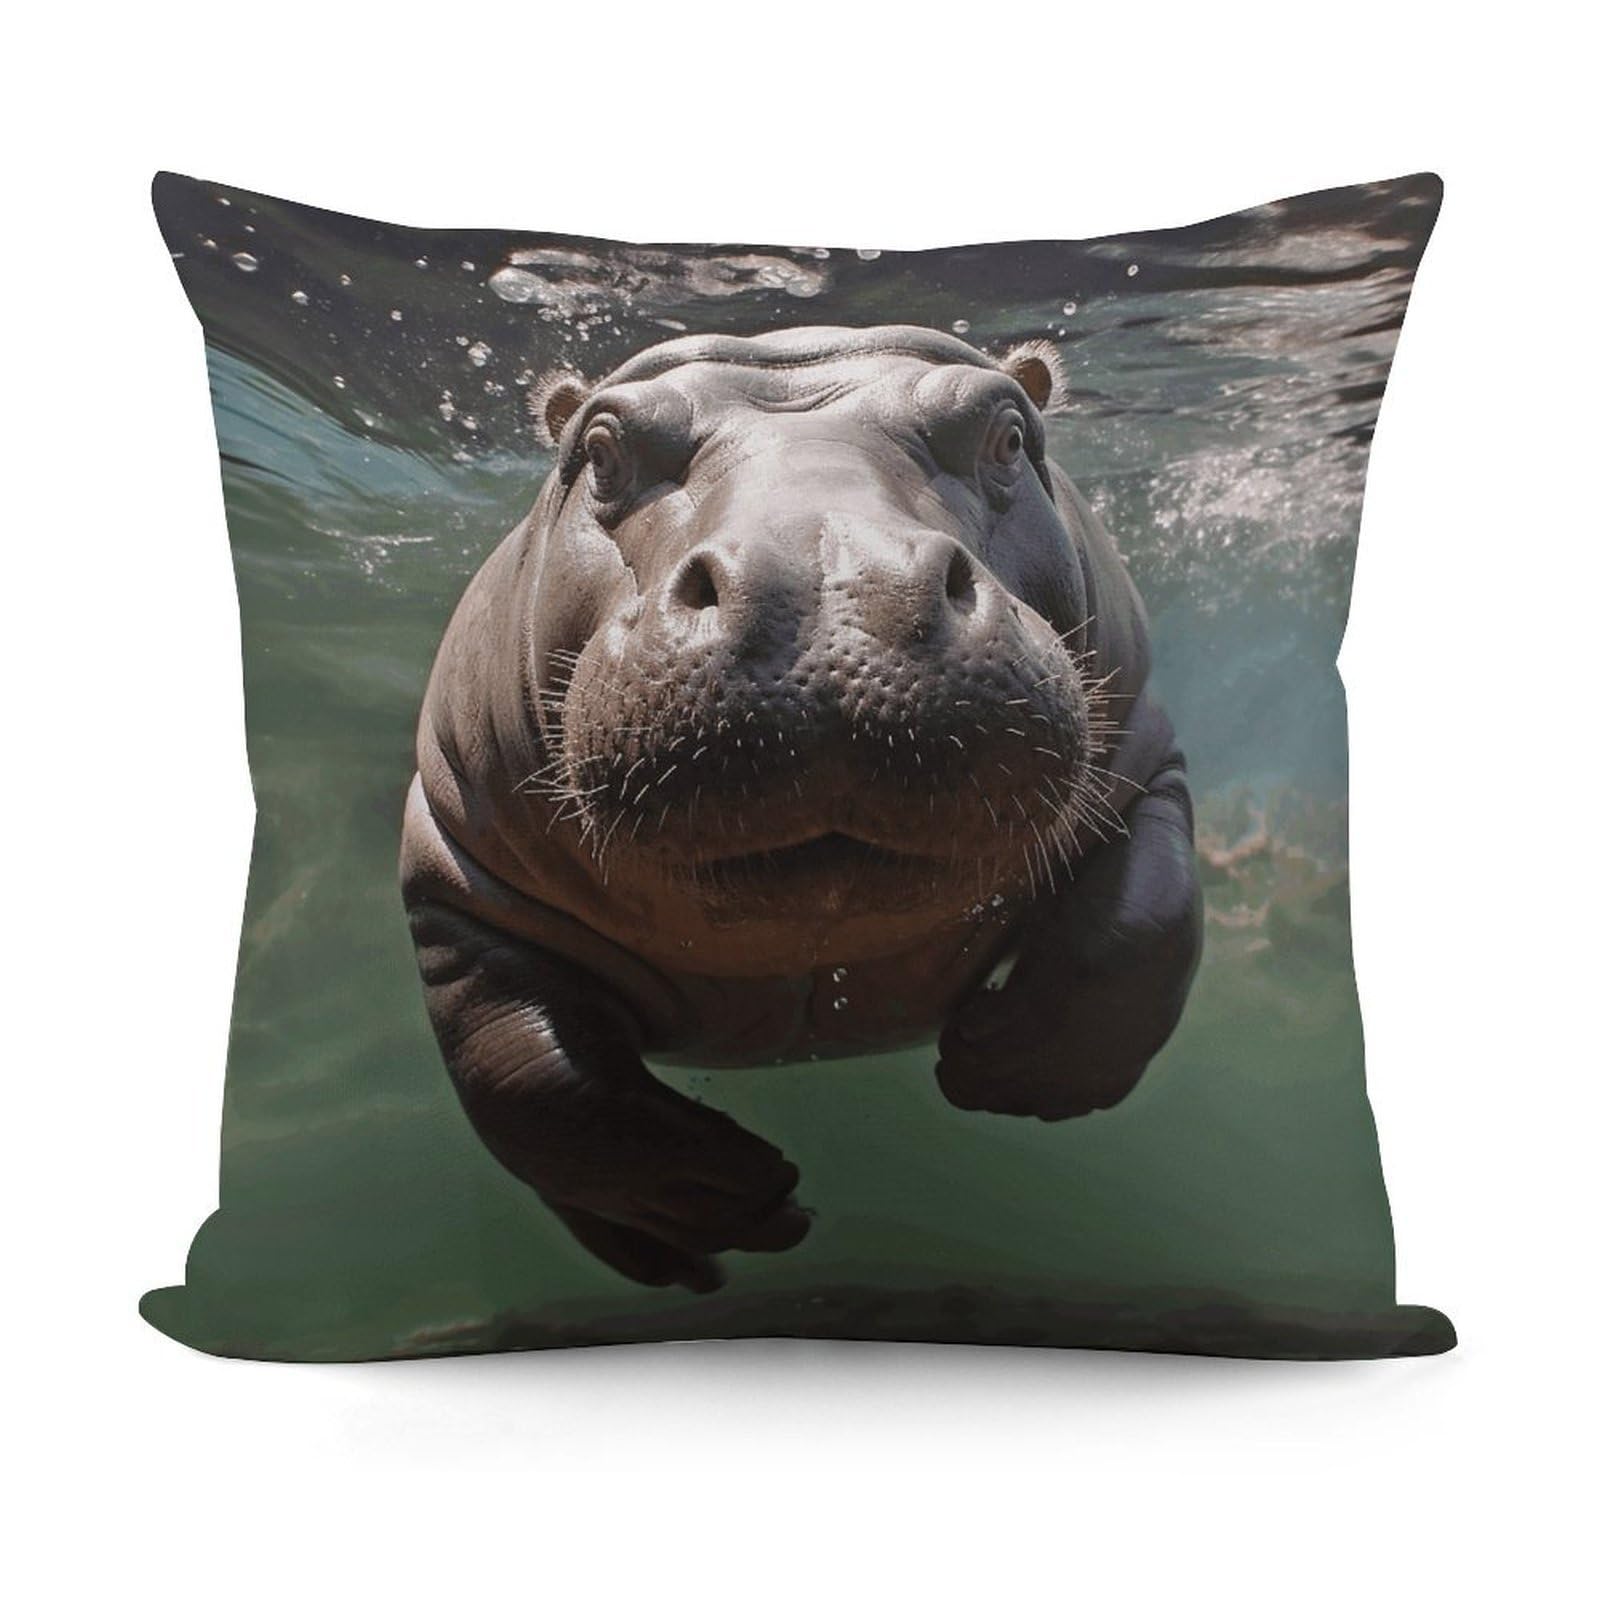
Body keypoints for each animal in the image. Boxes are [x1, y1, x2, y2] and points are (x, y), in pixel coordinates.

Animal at [400, 325, 1201, 1293]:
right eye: (602, 451)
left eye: (1008, 434)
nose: (827, 580)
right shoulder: (454, 869)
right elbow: (525, 1076)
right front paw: (728, 1197)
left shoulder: (1147, 766)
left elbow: (1138, 932)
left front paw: (1005, 1069)